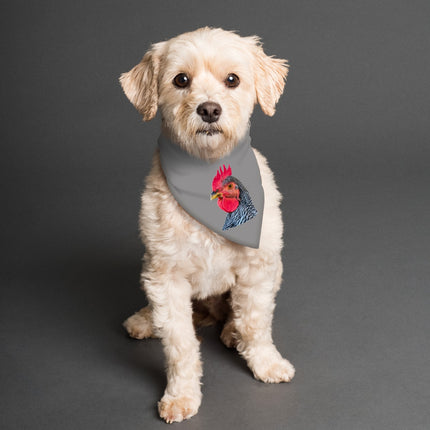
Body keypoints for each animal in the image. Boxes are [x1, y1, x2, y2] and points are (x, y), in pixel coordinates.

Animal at [121, 26, 296, 424]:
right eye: (180, 80)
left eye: (232, 80)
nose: (210, 109)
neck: (204, 167)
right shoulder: (165, 276)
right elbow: (179, 344)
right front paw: (181, 394)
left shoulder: (259, 267)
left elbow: (255, 322)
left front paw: (265, 362)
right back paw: (145, 320)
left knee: (235, 314)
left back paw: (231, 331)